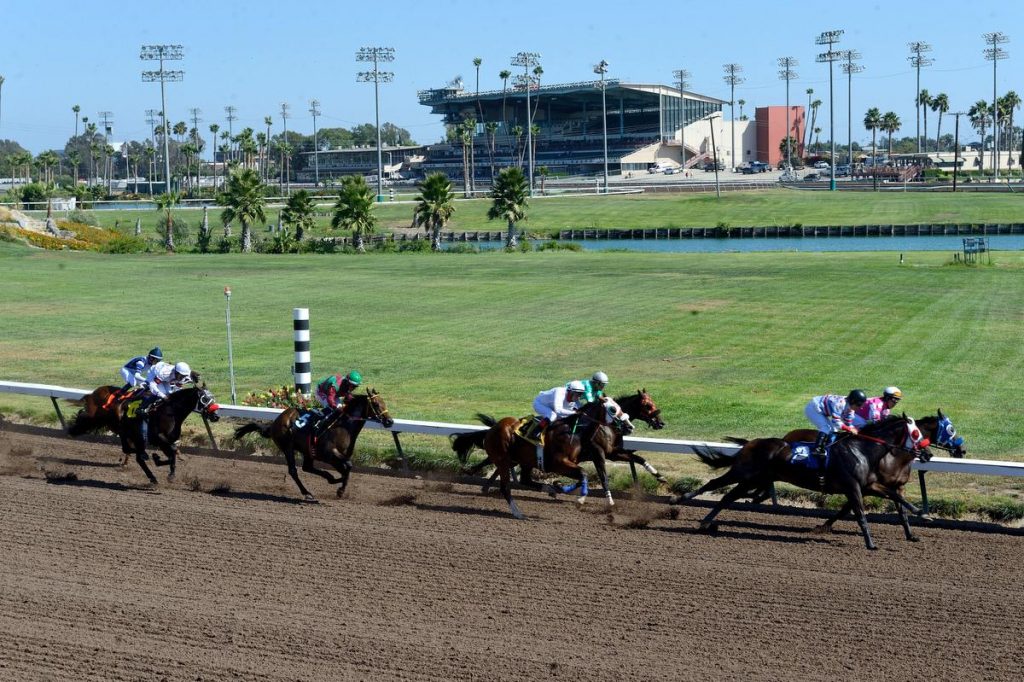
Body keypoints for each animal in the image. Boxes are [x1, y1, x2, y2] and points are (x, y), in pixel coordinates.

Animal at [234, 387, 393, 499]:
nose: (390, 421)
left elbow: (346, 468)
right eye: (376, 404)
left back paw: (328, 478)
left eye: (384, 402)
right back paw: (307, 493)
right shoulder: (329, 453)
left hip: (307, 450)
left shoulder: (336, 456)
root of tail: (275, 422)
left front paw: (338, 484)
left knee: (307, 467)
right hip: (287, 447)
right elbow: (348, 467)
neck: (344, 427)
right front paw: (340, 490)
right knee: (293, 471)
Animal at [454, 395, 614, 518]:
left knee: (524, 480)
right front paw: (578, 498)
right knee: (505, 487)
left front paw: (559, 486)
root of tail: (492, 429)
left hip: (523, 460)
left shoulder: (572, 461)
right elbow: (583, 473)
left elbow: (582, 476)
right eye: (613, 409)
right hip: (504, 460)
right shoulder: (558, 463)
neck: (574, 432)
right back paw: (517, 513)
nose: (621, 425)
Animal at [667, 411, 933, 548]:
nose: (928, 454)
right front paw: (870, 543)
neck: (862, 449)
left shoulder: (869, 485)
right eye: (916, 433)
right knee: (716, 485)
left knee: (729, 497)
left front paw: (922, 513)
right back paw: (678, 501)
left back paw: (706, 522)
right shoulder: (853, 487)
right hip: (744, 472)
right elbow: (860, 515)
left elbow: (896, 496)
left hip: (754, 479)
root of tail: (751, 443)